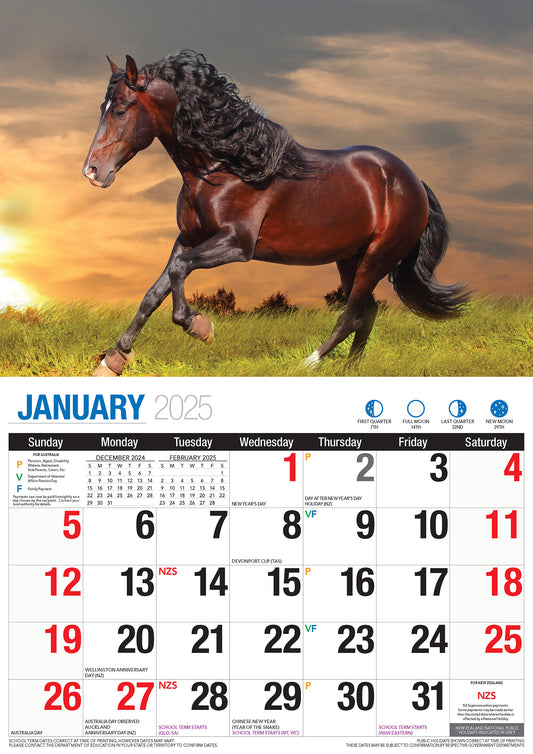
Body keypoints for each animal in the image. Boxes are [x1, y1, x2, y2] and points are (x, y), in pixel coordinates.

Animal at [83, 50, 469, 376]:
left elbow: (178, 274)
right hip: (350, 259)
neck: (224, 166)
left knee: (351, 316)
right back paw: (350, 370)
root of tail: (412, 180)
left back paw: (308, 363)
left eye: (120, 109)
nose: (92, 172)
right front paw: (112, 361)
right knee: (366, 312)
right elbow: (155, 291)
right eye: (103, 107)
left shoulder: (237, 244)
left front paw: (200, 327)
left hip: (377, 259)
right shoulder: (188, 238)